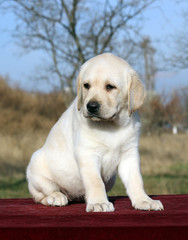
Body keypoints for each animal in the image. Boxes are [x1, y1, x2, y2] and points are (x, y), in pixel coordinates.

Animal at [26, 53, 163, 212]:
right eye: (86, 85)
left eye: (110, 87)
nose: (91, 106)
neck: (111, 125)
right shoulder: (88, 154)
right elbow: (95, 181)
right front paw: (99, 202)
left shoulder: (129, 154)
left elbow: (136, 180)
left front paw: (144, 200)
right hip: (37, 167)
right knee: (41, 195)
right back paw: (56, 197)